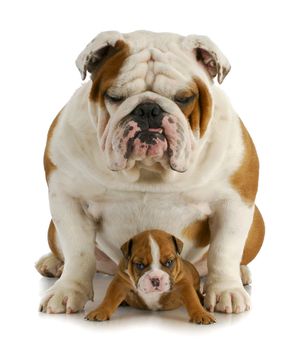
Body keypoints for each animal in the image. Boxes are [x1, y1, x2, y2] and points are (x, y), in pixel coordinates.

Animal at [85, 230, 215, 326]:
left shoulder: (184, 285)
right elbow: (109, 298)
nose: (155, 279)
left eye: (169, 262)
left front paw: (201, 313)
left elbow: (192, 300)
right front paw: (100, 311)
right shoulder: (120, 282)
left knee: (197, 293)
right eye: (140, 265)